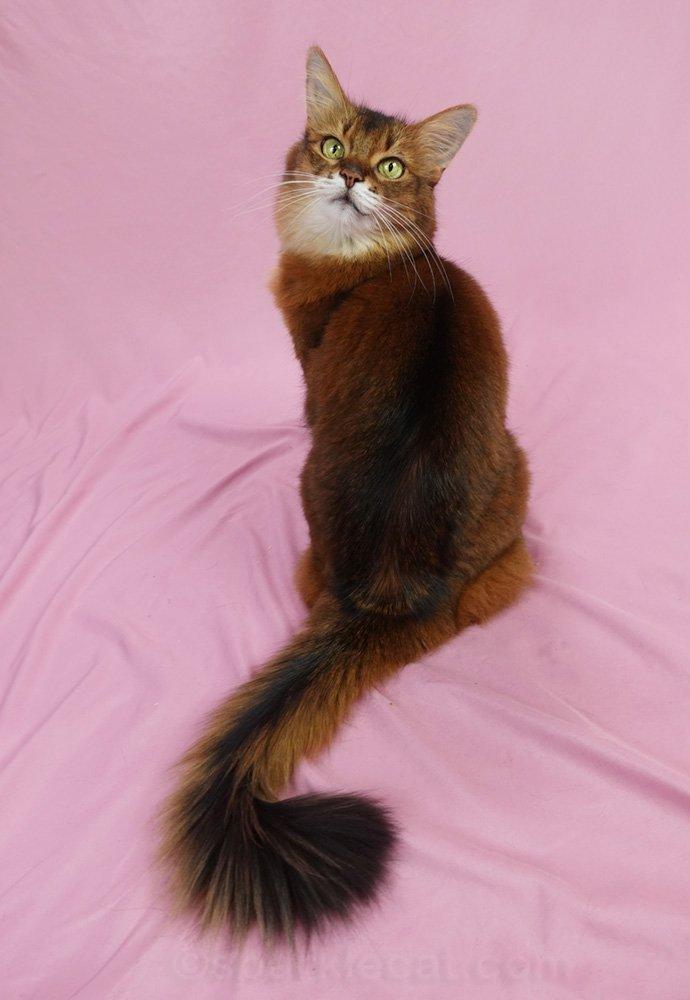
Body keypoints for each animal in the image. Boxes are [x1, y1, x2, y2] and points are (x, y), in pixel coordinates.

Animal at [163, 47, 532, 944]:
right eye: (332, 146)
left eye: (391, 166)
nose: (353, 176)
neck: (368, 264)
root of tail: (391, 595)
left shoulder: (308, 368)